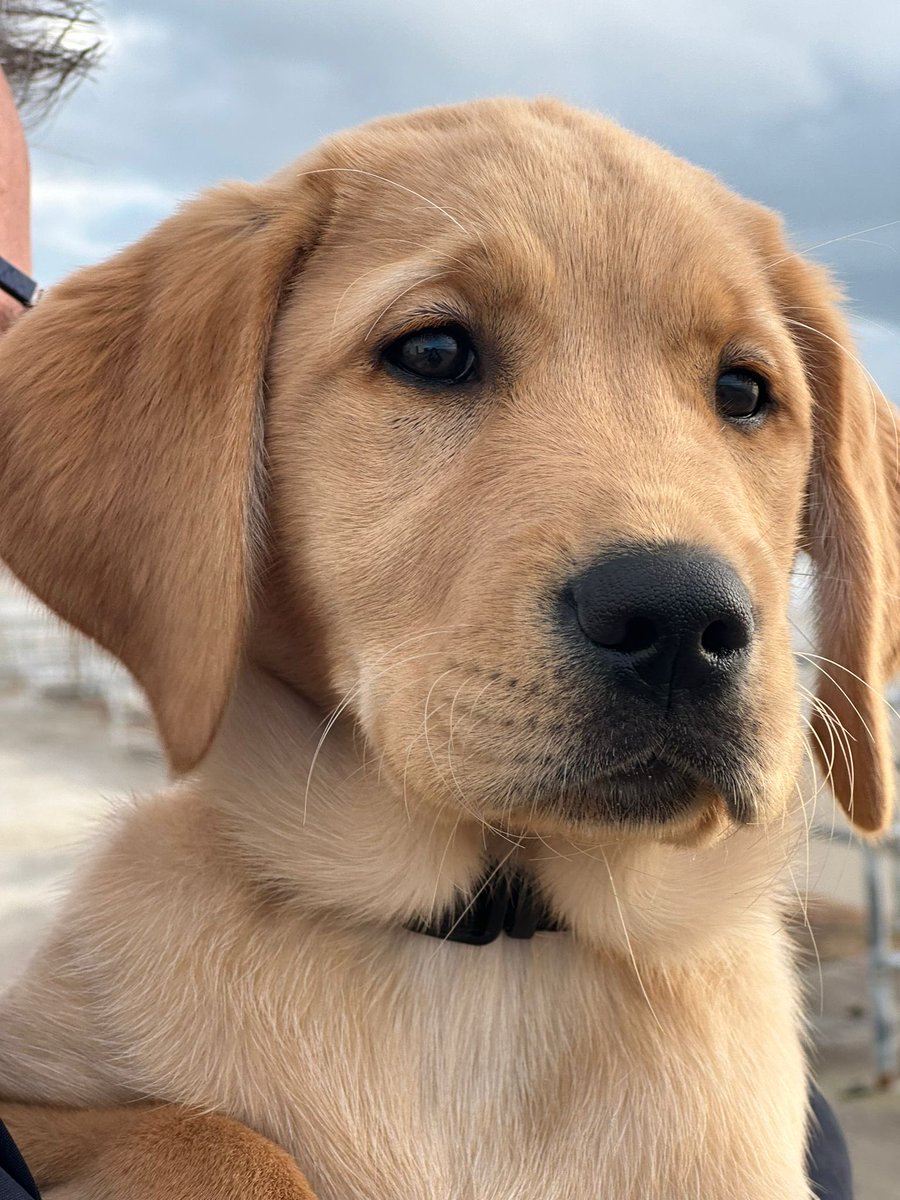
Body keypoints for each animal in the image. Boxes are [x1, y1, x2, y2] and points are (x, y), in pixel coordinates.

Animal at [1, 98, 900, 1195]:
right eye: (433, 353)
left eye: (743, 390)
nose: (683, 622)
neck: (494, 958)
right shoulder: (37, 1088)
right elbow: (212, 1137)